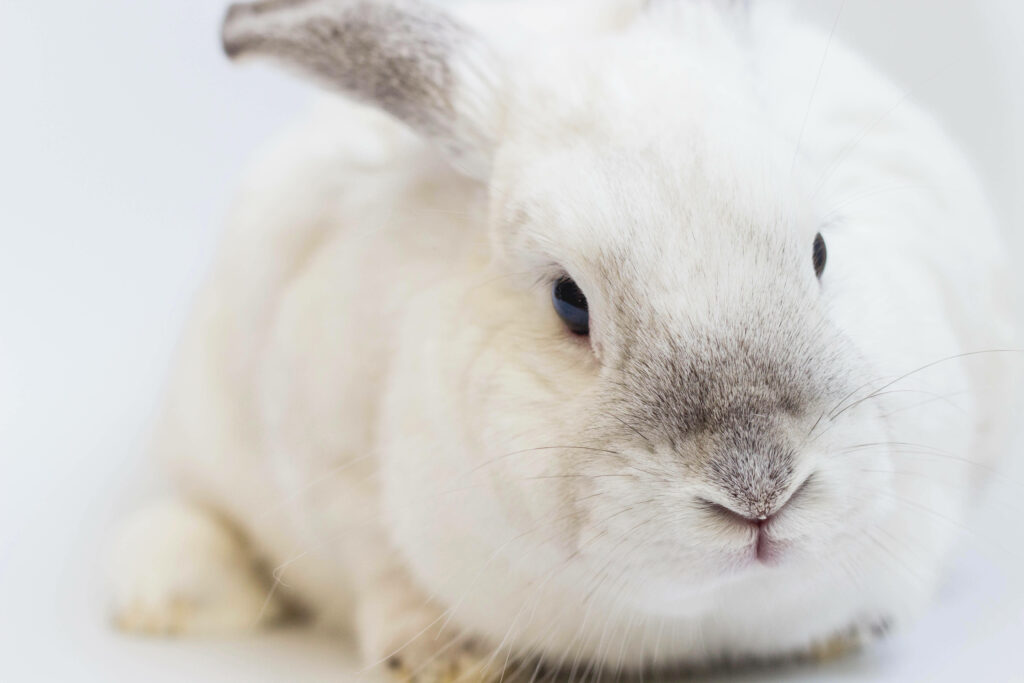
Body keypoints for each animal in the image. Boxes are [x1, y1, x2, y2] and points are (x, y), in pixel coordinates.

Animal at [108, 0, 1021, 679]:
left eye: (822, 250)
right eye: (569, 301)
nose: (760, 488)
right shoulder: (326, 456)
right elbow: (380, 567)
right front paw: (446, 657)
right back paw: (160, 598)